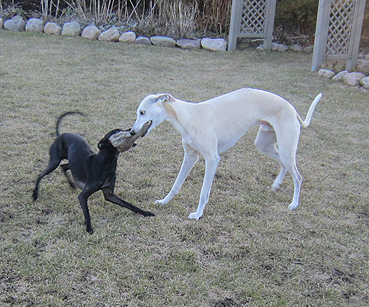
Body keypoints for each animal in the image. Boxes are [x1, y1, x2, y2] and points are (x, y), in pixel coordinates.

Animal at [131, 88, 320, 220]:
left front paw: (197, 214)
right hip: (264, 145)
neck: (188, 116)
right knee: (283, 163)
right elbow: (176, 185)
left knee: (298, 177)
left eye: (142, 112)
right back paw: (277, 184)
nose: (132, 131)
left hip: (286, 148)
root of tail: (291, 107)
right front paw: (163, 201)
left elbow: (203, 193)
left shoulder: (212, 159)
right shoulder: (190, 157)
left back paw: (294, 204)